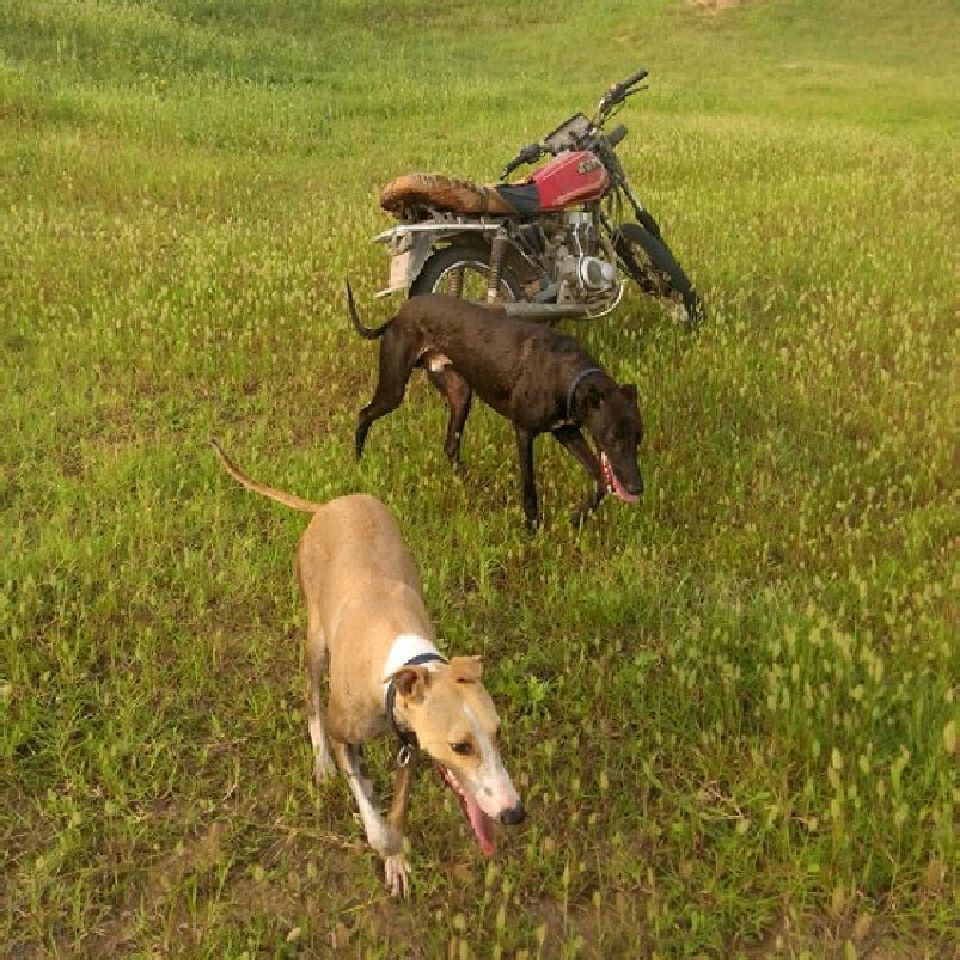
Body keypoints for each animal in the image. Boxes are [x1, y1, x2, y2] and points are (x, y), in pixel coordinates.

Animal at [210, 440, 524, 897]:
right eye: (461, 746)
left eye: (497, 733)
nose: (515, 813)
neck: (404, 659)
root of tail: (330, 504)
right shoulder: (346, 734)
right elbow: (377, 822)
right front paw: (383, 839)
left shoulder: (410, 746)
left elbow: (397, 810)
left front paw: (395, 860)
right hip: (315, 640)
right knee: (312, 700)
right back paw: (322, 762)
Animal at [346, 282, 642, 529]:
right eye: (612, 438)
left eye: (638, 439)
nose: (637, 488)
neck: (568, 373)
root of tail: (398, 315)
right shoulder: (524, 431)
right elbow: (529, 488)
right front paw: (532, 528)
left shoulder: (566, 430)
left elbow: (601, 480)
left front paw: (576, 519)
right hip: (394, 390)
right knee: (364, 414)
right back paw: (358, 462)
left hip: (460, 394)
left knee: (450, 446)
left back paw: (469, 487)